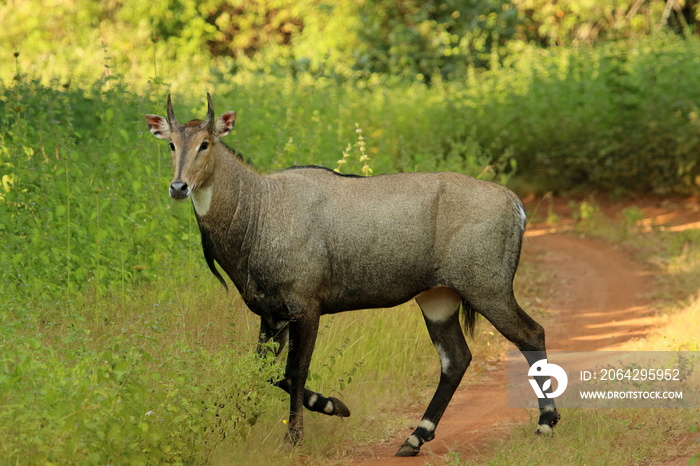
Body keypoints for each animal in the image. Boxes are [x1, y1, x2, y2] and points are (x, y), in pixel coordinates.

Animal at [145, 93, 560, 456]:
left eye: (205, 143)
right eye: (172, 145)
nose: (179, 186)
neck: (257, 211)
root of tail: (516, 205)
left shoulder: (305, 307)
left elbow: (295, 370)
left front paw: (295, 437)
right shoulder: (270, 314)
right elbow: (262, 371)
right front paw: (325, 406)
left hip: (487, 288)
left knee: (531, 333)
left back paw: (546, 423)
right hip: (437, 297)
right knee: (455, 359)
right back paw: (414, 438)